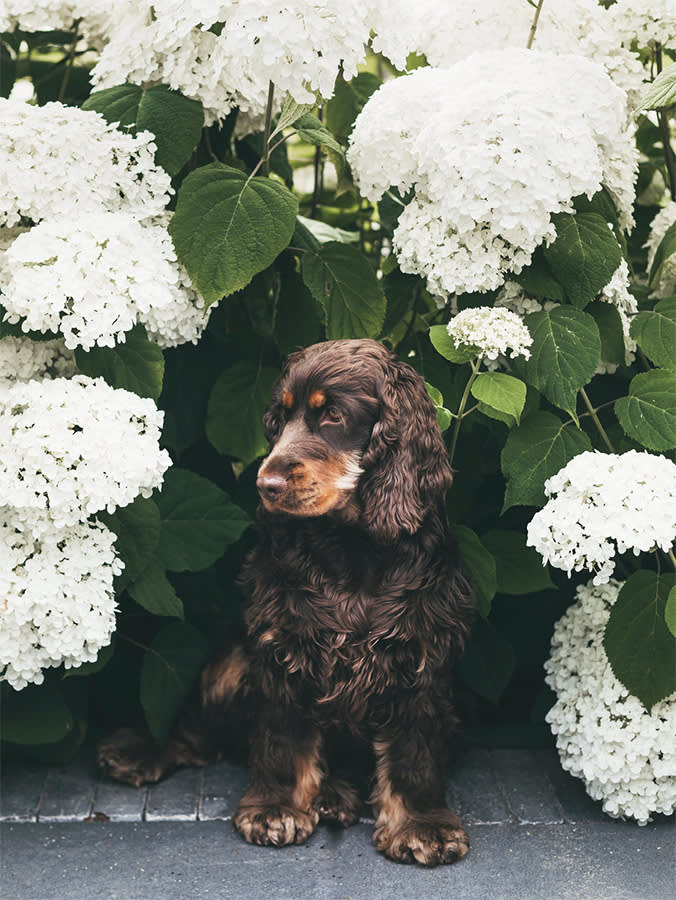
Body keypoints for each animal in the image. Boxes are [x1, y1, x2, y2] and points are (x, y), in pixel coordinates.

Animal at [96, 338, 476, 864]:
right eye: (280, 417)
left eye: (333, 414)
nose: (266, 486)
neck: (352, 547)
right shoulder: (284, 645)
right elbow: (281, 736)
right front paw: (274, 808)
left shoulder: (419, 655)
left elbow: (414, 751)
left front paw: (424, 825)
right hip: (230, 663)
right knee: (198, 736)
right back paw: (140, 753)